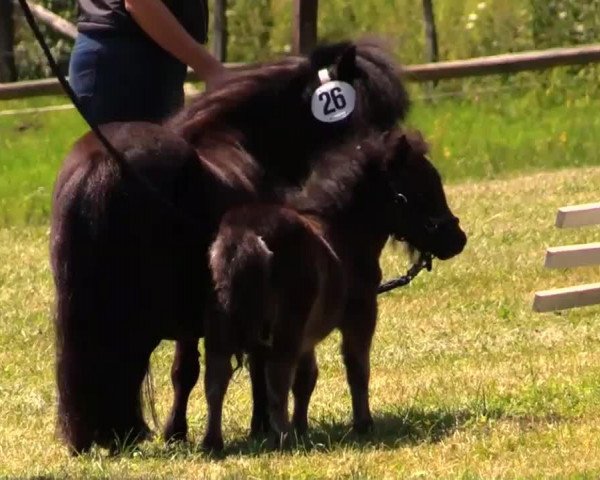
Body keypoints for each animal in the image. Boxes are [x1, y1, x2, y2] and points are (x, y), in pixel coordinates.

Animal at [51, 39, 410, 452]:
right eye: (374, 116)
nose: (389, 151)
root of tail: (105, 162)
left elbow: (189, 370)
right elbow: (231, 365)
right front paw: (255, 425)